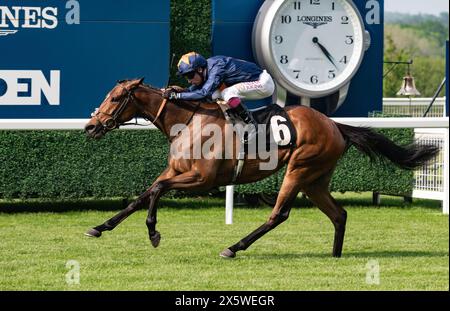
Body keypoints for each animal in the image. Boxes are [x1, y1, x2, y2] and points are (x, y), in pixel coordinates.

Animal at [83, 79, 436, 260]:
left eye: (115, 98)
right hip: (315, 180)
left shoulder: (202, 179)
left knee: (279, 214)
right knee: (339, 214)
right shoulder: (174, 172)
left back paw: (234, 247)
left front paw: (154, 232)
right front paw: (99, 227)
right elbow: (142, 195)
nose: (90, 127)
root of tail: (335, 125)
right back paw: (335, 255)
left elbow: (155, 191)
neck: (189, 121)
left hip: (299, 169)